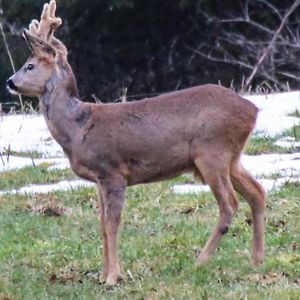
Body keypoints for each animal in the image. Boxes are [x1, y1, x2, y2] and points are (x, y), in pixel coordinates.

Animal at [6, 0, 264, 286]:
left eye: (29, 65)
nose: (9, 82)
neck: (79, 127)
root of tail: (253, 110)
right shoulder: (99, 179)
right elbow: (102, 224)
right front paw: (102, 275)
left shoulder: (113, 171)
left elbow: (112, 224)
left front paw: (112, 277)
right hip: (232, 156)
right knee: (257, 192)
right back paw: (256, 260)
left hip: (211, 152)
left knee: (229, 203)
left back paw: (201, 261)